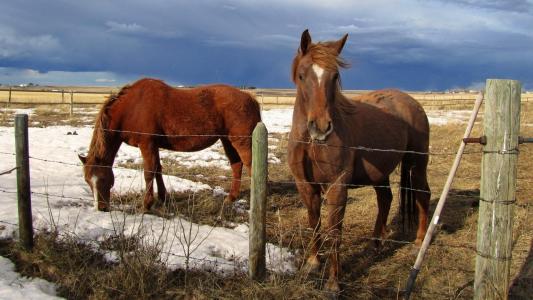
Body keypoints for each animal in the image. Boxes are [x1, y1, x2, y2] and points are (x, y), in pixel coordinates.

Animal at [79, 78, 260, 212]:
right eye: (87, 181)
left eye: (102, 178)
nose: (101, 208)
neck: (132, 107)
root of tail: (250, 98)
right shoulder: (154, 145)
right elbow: (158, 169)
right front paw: (162, 197)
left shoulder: (147, 144)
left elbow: (149, 173)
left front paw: (147, 205)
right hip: (227, 140)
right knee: (236, 165)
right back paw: (231, 198)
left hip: (242, 142)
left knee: (251, 167)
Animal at [288, 29, 430, 290]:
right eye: (302, 75)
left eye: (335, 76)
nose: (321, 128)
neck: (310, 143)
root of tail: (411, 102)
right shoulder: (305, 185)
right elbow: (314, 221)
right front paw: (313, 262)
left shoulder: (337, 186)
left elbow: (335, 231)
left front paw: (334, 283)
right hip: (381, 172)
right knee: (385, 199)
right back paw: (375, 243)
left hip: (417, 164)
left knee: (422, 194)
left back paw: (419, 242)